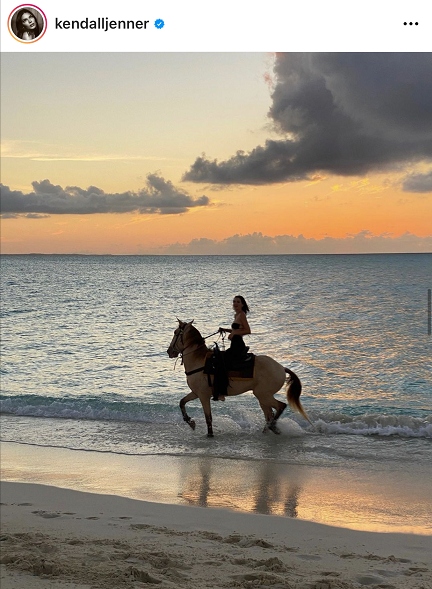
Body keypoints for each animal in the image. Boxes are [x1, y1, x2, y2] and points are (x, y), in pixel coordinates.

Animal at [166, 316, 310, 436]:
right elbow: (182, 402)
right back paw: (268, 430)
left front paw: (209, 434)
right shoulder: (196, 393)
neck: (198, 360)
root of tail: (281, 368)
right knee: (269, 414)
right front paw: (190, 422)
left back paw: (272, 427)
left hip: (263, 394)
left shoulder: (203, 395)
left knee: (280, 407)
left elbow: (208, 418)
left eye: (175, 332)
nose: (169, 351)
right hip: (263, 396)